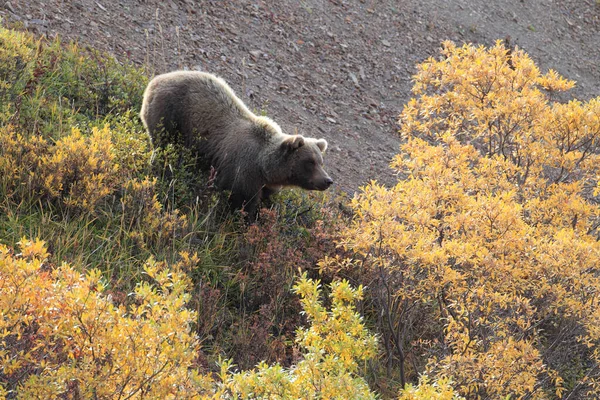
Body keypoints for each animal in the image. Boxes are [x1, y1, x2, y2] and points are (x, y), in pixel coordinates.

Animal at [139, 70, 332, 217]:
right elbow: (240, 202)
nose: (327, 180)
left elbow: (264, 200)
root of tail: (155, 79)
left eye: (321, 162)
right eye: (309, 162)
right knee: (163, 146)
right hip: (169, 115)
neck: (265, 167)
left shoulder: (265, 184)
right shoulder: (242, 171)